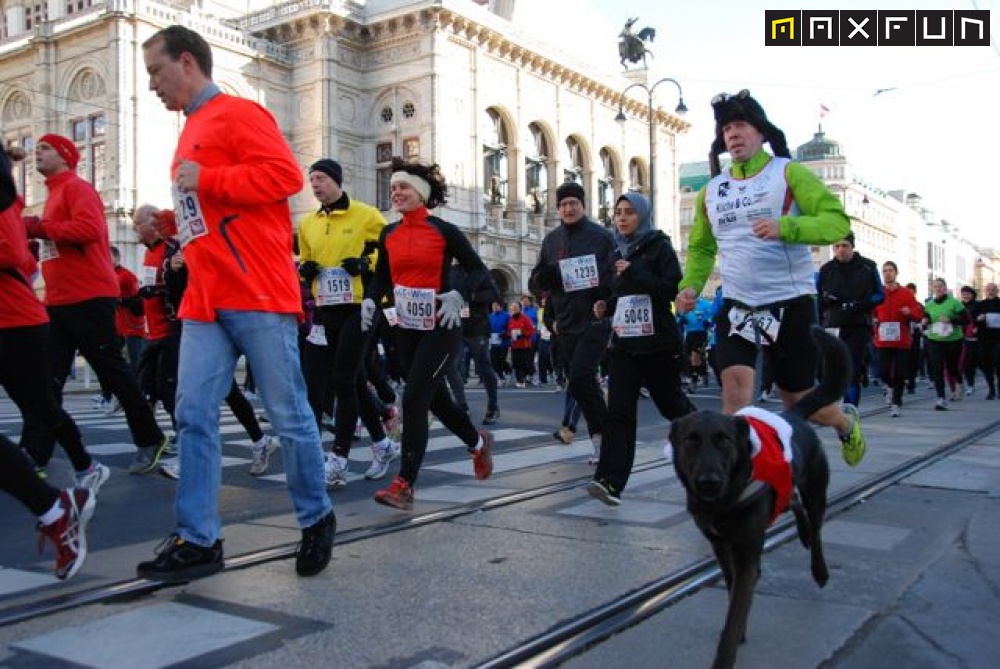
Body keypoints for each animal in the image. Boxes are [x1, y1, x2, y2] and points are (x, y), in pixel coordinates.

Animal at [668, 328, 848, 668]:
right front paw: (740, 632)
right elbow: (731, 591)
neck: (723, 501)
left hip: (816, 491)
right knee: (792, 502)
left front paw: (727, 652)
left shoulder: (747, 558)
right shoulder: (721, 546)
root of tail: (792, 414)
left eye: (724, 441)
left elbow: (734, 615)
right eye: (690, 441)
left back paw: (819, 568)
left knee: (816, 527)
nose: (708, 482)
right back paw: (802, 534)